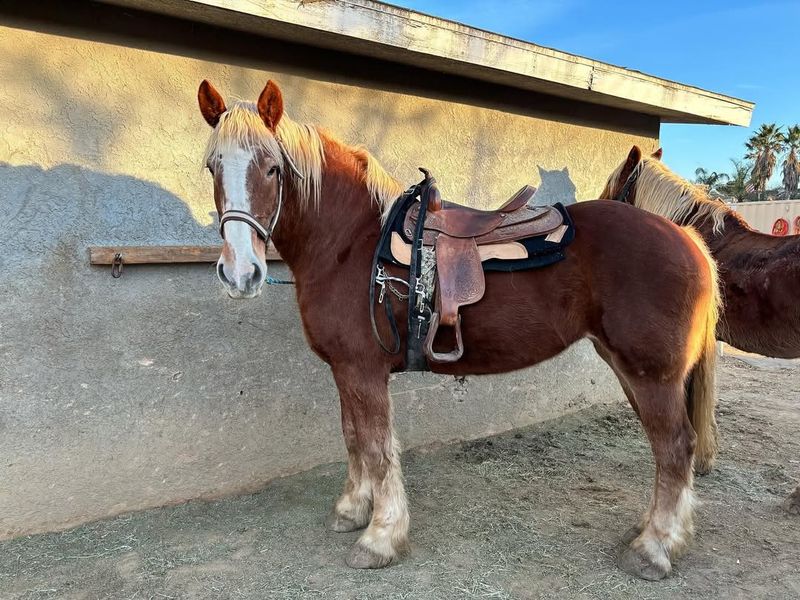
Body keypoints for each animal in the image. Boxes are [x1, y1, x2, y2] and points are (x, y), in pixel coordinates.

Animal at [198, 81, 720, 580]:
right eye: (211, 167)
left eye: (272, 169)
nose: (240, 274)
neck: (351, 243)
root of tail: (686, 237)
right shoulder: (345, 370)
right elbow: (353, 437)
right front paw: (352, 509)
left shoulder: (363, 371)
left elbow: (378, 447)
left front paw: (380, 538)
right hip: (631, 368)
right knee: (668, 448)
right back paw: (653, 531)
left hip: (651, 374)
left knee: (675, 447)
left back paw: (654, 549)